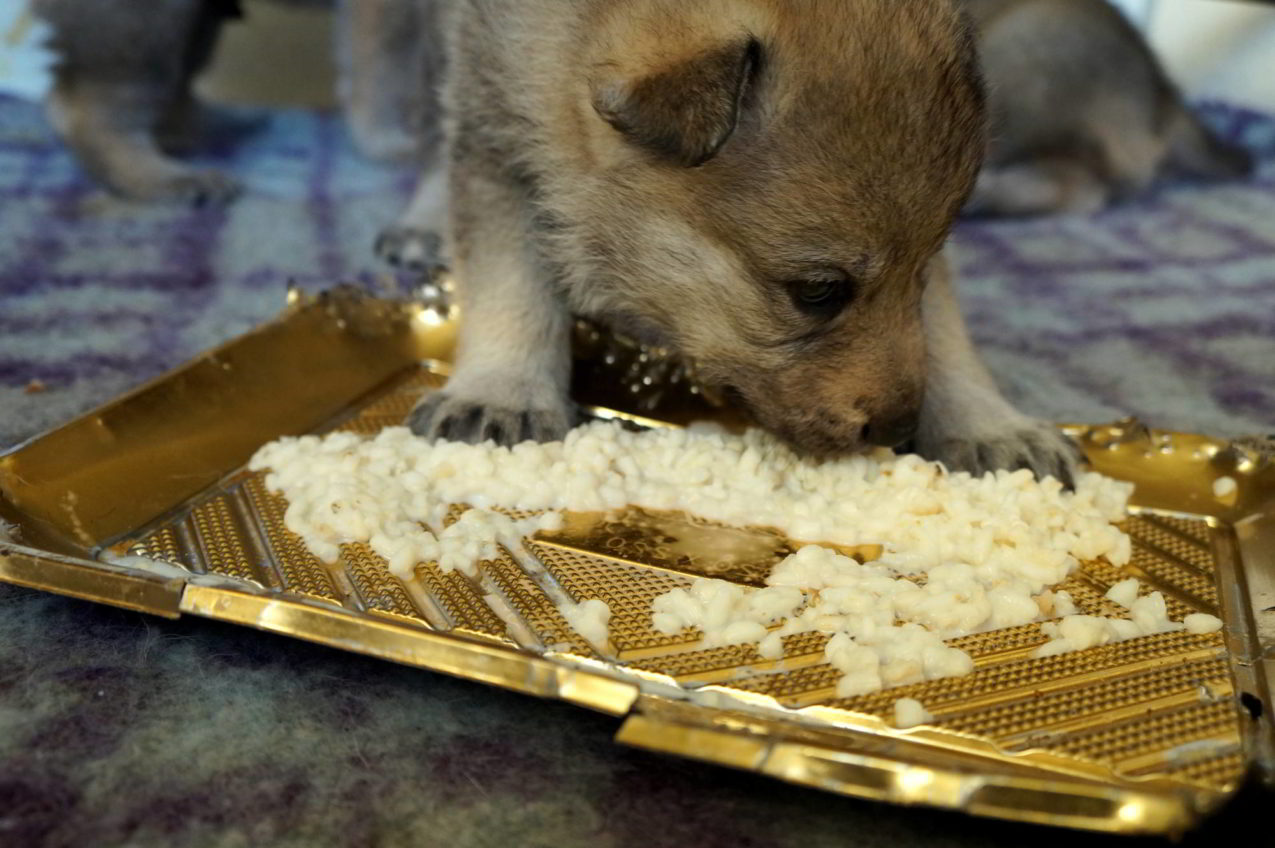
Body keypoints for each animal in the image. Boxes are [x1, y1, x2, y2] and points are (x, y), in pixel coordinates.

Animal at [390, 0, 1083, 483]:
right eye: (818, 292)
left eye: (922, 267)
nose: (897, 427)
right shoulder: (497, 142)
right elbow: (510, 284)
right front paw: (500, 391)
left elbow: (942, 325)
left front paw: (988, 422)